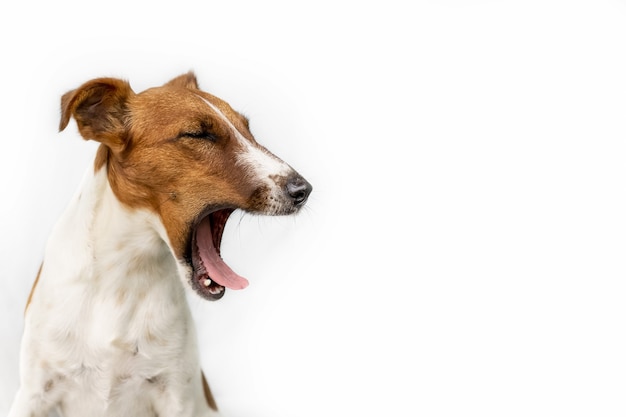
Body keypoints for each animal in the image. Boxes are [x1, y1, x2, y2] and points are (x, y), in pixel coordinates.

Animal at [8, 72, 310, 416]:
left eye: (249, 130)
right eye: (198, 134)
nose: (303, 190)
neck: (123, 275)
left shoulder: (178, 395)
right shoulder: (33, 394)